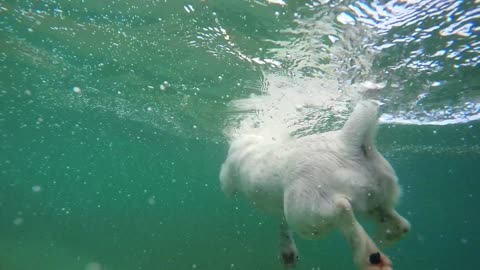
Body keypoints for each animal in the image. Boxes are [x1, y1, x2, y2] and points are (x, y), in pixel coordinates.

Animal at [219, 100, 410, 270]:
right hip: (378, 179)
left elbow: (225, 181)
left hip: (307, 197)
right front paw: (288, 255)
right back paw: (386, 235)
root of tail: (347, 145)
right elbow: (282, 221)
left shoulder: (230, 166)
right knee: (386, 212)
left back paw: (371, 258)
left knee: (336, 210)